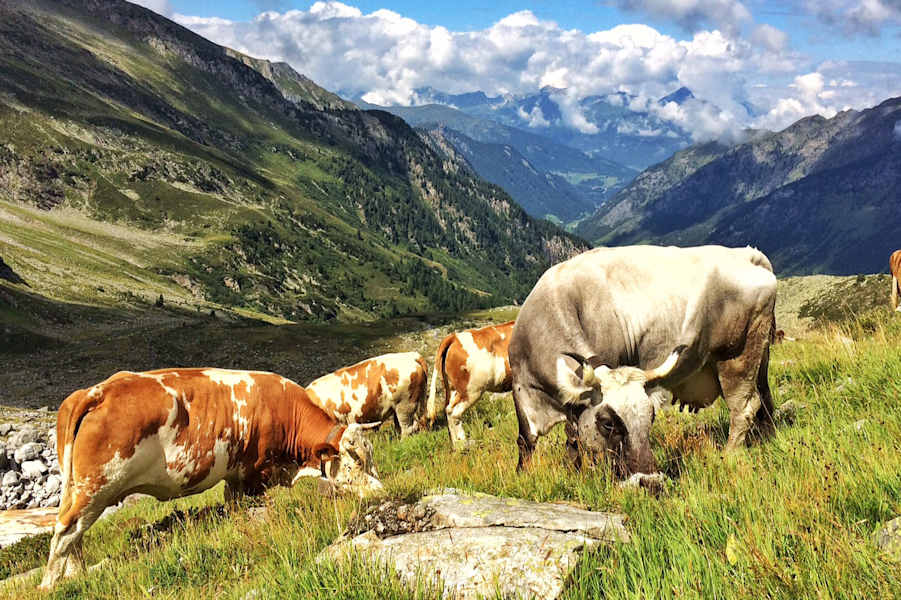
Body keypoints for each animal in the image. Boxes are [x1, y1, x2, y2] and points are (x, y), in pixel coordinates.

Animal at [41, 368, 383, 589]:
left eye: (371, 455)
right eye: (354, 461)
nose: (381, 491)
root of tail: (96, 391)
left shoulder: (235, 476)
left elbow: (232, 506)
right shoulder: (254, 472)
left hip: (81, 489)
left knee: (76, 536)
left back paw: (79, 575)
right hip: (95, 487)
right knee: (66, 532)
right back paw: (50, 585)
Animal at [426, 321, 514, 449]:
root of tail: (454, 337)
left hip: (453, 389)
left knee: (447, 409)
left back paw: (456, 444)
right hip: (471, 390)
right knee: (453, 412)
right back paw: (462, 443)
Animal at [509, 245, 777, 481]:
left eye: (651, 417)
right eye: (607, 423)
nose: (649, 481)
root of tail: (746, 254)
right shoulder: (521, 388)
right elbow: (528, 440)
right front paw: (527, 474)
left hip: (737, 358)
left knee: (744, 408)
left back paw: (729, 455)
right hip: (760, 356)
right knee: (765, 399)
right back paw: (769, 437)